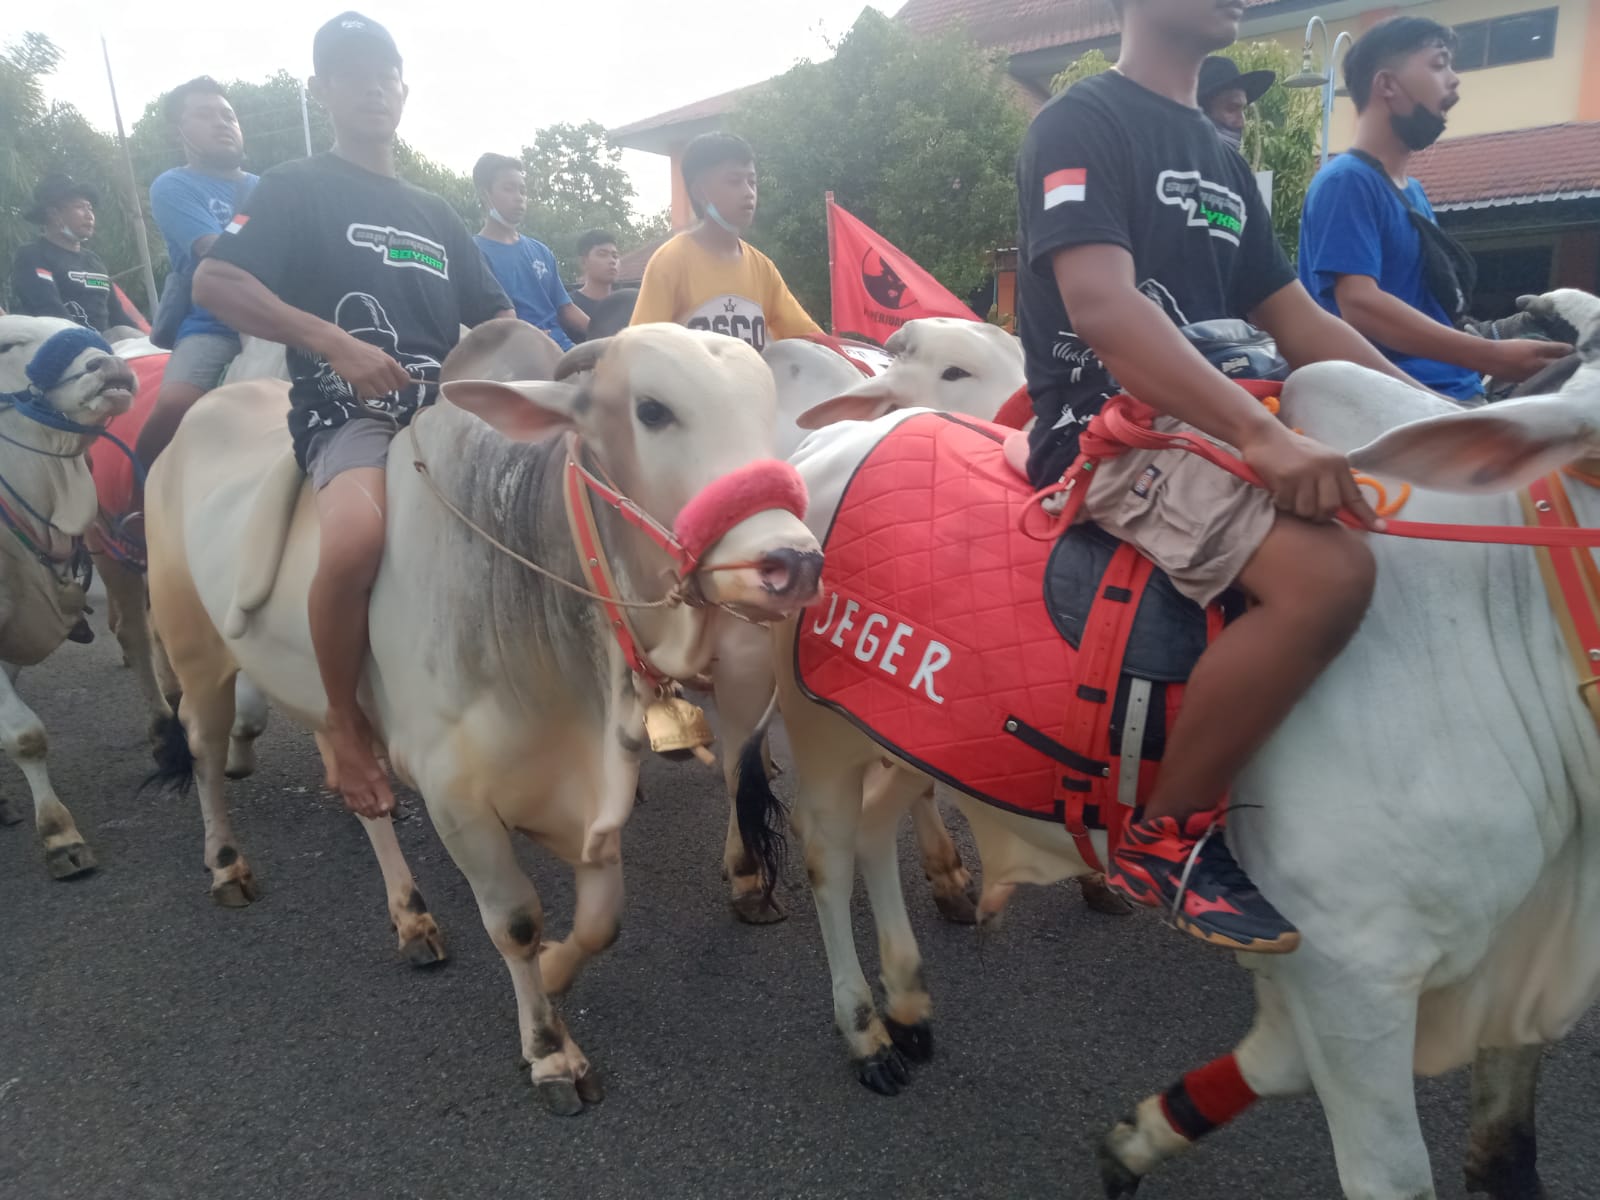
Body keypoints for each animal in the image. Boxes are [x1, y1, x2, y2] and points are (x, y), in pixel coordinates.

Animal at [147, 324, 825, 1113]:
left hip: (318, 687)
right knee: (202, 751)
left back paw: (410, 915)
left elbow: (602, 919)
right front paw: (550, 1051)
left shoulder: (594, 789)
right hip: (194, 647)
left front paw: (558, 970)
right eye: (653, 410)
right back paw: (227, 864)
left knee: (357, 785)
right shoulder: (457, 801)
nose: (792, 562)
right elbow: (516, 922)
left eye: (768, 405)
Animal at [732, 294, 1600, 1200]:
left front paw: (1139, 1138)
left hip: (916, 731)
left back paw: (908, 1002)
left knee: (875, 829)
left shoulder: (1495, 978)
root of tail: (825, 444)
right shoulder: (1355, 980)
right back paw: (865, 1031)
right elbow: (1386, 1170)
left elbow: (1487, 1141)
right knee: (829, 856)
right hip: (821, 725)